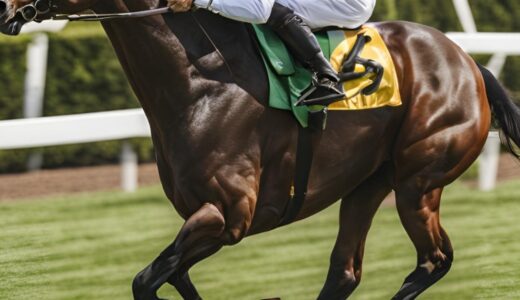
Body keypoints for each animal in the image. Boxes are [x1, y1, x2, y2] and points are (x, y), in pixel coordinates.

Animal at [2, 0, 516, 300]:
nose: (7, 8)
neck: (202, 81)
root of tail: (467, 62)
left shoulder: (229, 214)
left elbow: (147, 280)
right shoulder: (204, 219)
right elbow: (173, 276)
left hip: (418, 182)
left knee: (433, 260)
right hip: (369, 183)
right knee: (345, 271)